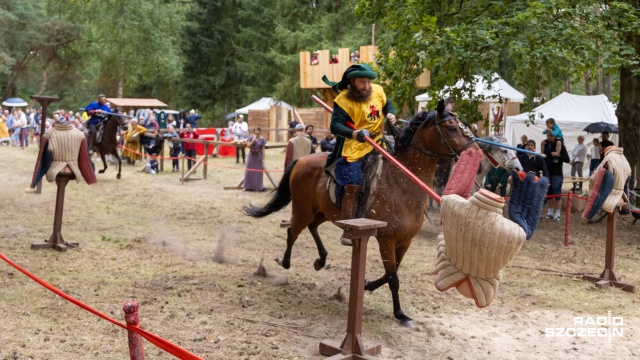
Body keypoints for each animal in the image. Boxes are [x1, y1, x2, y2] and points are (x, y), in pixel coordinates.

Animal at [242, 100, 478, 324]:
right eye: (451, 127)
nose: (475, 151)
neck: (401, 183)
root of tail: (301, 160)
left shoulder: (405, 241)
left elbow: (390, 273)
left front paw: (368, 285)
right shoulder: (386, 240)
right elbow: (393, 277)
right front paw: (399, 314)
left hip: (322, 212)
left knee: (312, 227)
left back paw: (321, 259)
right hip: (303, 209)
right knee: (293, 231)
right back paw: (286, 261)